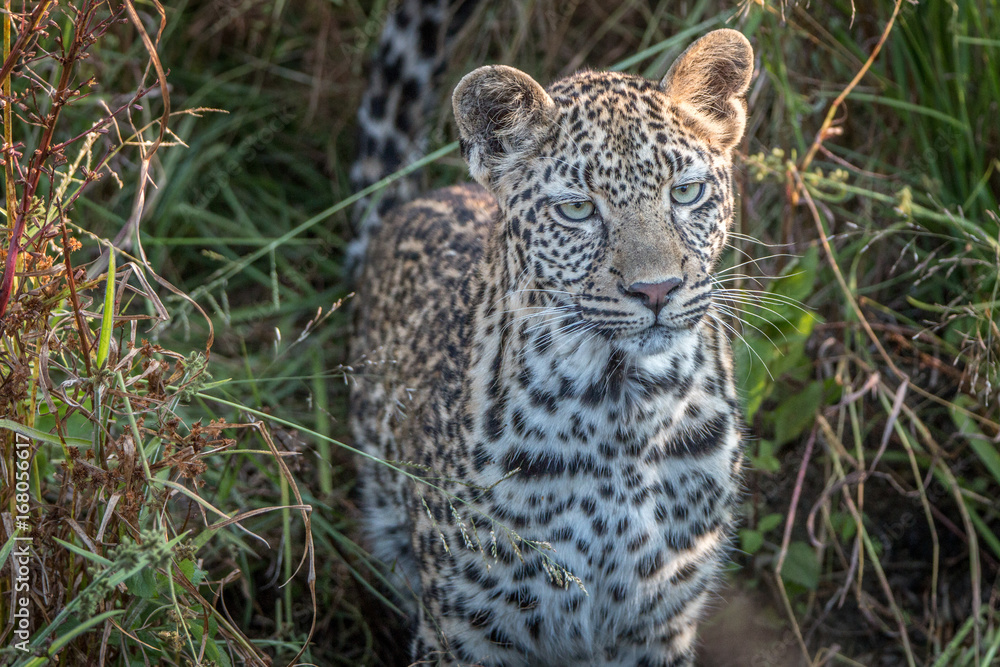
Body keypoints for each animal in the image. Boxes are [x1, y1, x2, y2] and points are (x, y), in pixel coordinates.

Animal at [349, 28, 755, 667]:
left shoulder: (660, 618)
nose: (657, 289)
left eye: (687, 193)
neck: (627, 412)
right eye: (577, 209)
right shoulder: (462, 629)